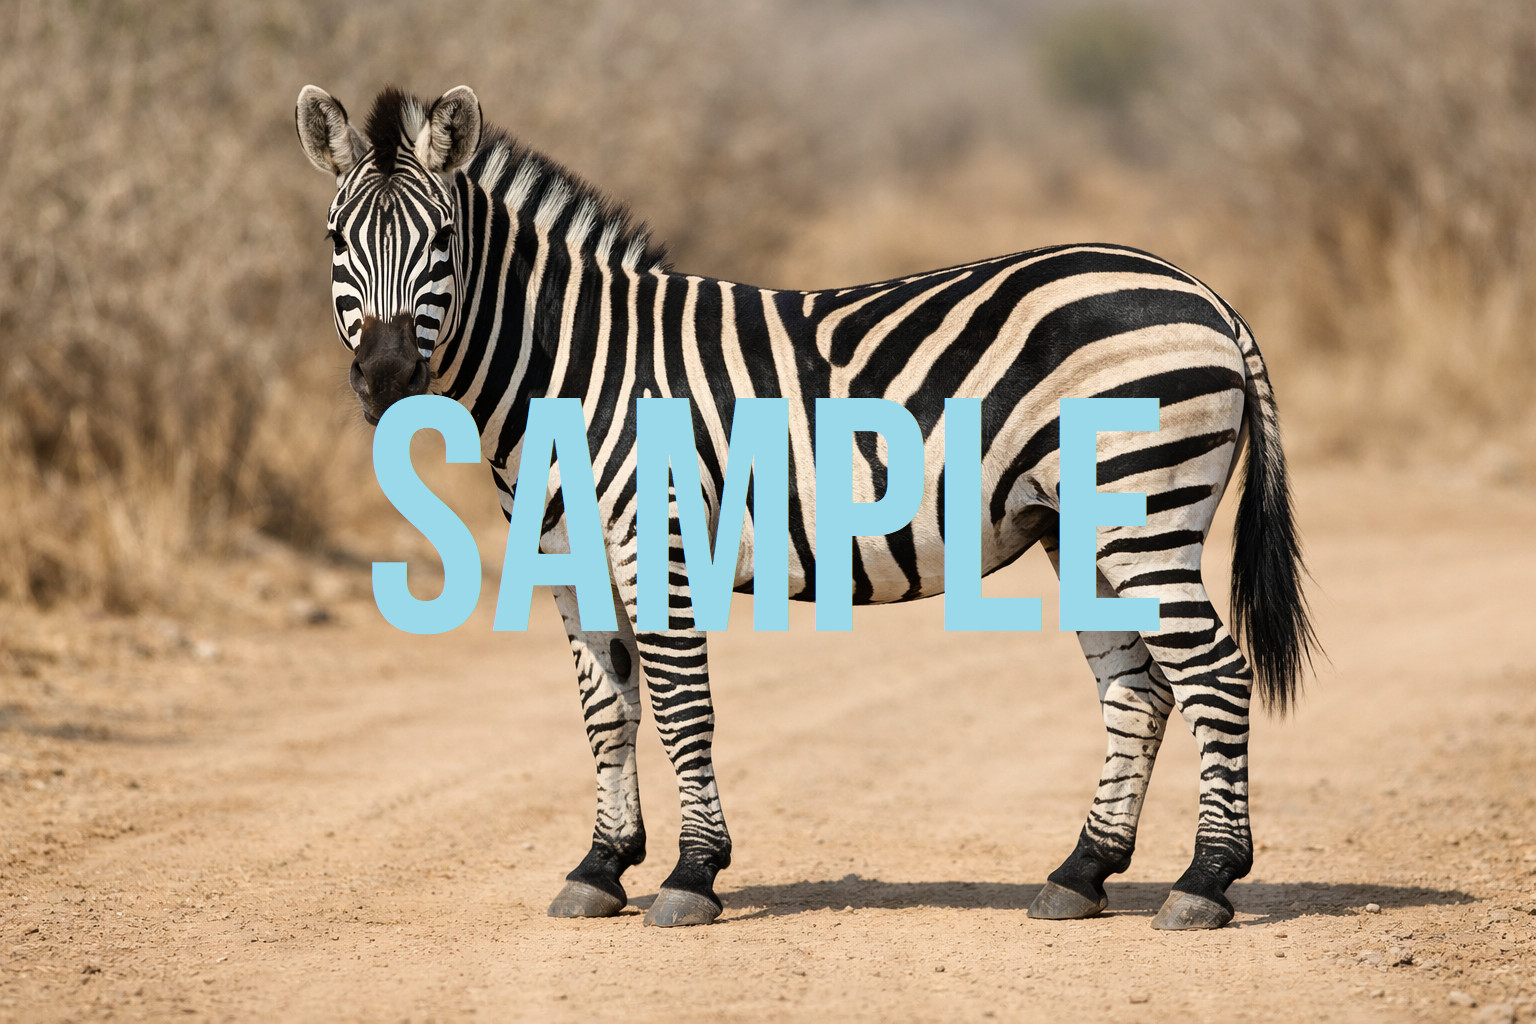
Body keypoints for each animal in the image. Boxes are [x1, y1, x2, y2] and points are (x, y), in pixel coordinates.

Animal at [296, 84, 1317, 930]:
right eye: (337, 244)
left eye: (441, 245)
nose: (387, 380)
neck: (574, 365)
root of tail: (1204, 293)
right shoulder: (568, 556)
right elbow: (607, 714)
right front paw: (600, 868)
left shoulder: (662, 541)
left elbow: (681, 709)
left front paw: (690, 876)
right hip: (1080, 529)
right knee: (1138, 688)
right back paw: (1081, 874)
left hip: (1145, 515)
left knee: (1215, 674)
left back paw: (1204, 884)